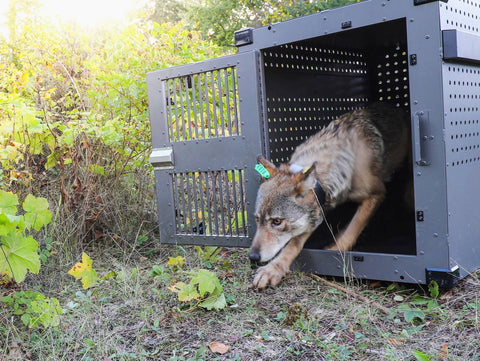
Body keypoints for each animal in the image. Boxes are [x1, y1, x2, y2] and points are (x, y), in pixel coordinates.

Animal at [249, 102, 410, 288]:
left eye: (276, 221)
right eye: (257, 219)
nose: (252, 257)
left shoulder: (377, 192)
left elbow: (354, 226)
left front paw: (335, 249)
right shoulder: (317, 210)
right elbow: (293, 244)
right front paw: (273, 269)